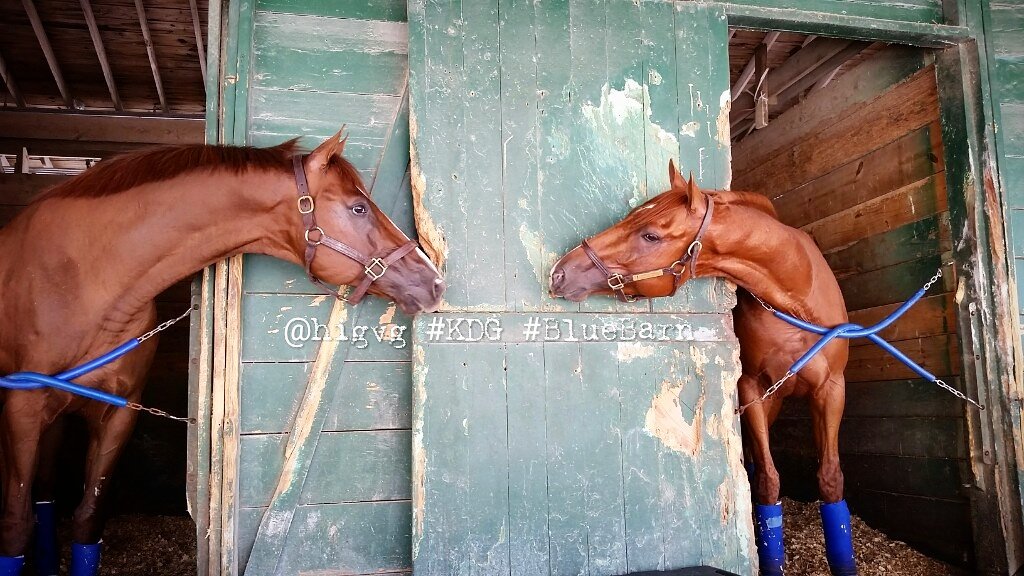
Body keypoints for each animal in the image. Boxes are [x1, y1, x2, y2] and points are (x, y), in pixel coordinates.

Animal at [0, 129, 445, 576]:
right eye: (358, 207)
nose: (435, 282)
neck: (85, 276)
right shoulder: (21, 409)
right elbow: (15, 526)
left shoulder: (119, 413)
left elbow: (88, 519)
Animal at [549, 160, 856, 576]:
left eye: (650, 235)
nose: (559, 272)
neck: (796, 297)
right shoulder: (752, 388)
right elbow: (768, 482)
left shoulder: (831, 388)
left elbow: (829, 479)